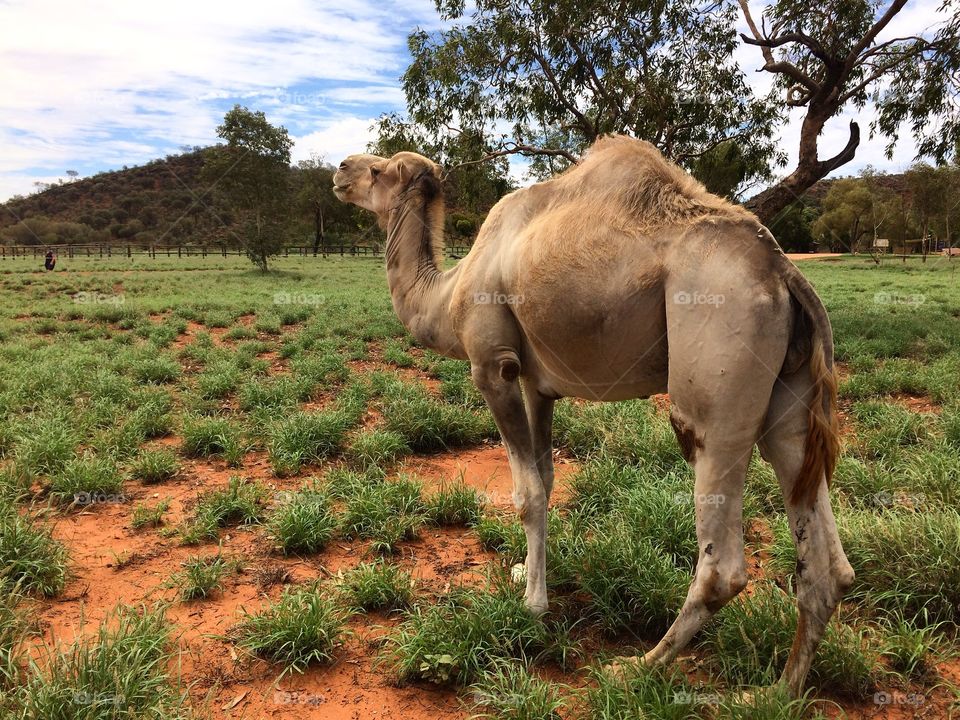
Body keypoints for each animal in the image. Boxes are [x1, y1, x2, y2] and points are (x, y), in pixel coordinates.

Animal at [332, 136, 854, 696]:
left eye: (379, 170)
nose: (339, 169)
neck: (447, 294)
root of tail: (784, 271)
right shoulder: (538, 384)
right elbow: (545, 479)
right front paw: (529, 574)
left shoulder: (493, 365)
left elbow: (525, 494)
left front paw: (532, 607)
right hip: (790, 396)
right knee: (824, 553)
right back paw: (779, 691)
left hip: (719, 358)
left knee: (721, 560)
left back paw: (636, 668)